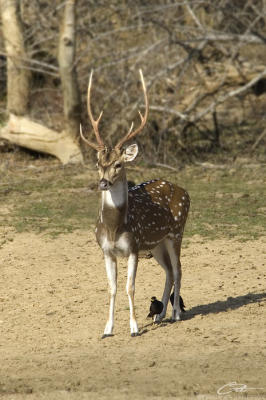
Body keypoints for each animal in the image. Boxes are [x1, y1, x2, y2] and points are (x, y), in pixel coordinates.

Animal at [80, 69, 190, 338]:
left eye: (119, 164)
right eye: (98, 163)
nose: (103, 183)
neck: (114, 227)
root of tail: (185, 191)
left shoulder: (132, 247)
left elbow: (130, 287)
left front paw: (134, 328)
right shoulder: (106, 250)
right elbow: (112, 288)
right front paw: (107, 329)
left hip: (176, 231)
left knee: (179, 268)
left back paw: (176, 314)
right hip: (156, 243)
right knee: (169, 271)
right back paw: (160, 314)